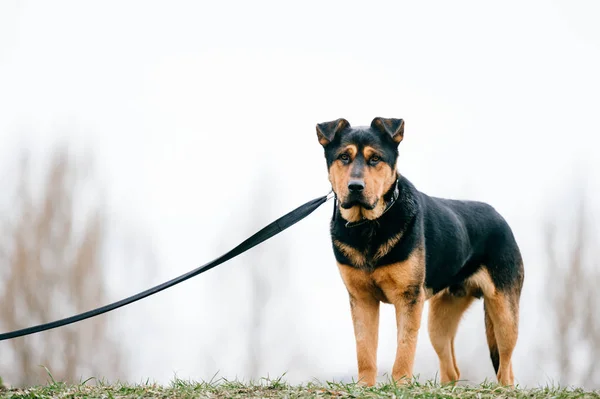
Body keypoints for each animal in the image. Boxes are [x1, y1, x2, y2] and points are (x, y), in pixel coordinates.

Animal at [316, 118, 524, 388]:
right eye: (343, 157)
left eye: (375, 159)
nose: (355, 187)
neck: (369, 224)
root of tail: (500, 217)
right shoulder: (362, 300)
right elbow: (365, 350)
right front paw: (364, 385)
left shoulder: (408, 299)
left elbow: (405, 348)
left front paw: (401, 384)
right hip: (439, 321)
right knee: (451, 369)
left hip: (504, 314)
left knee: (506, 368)